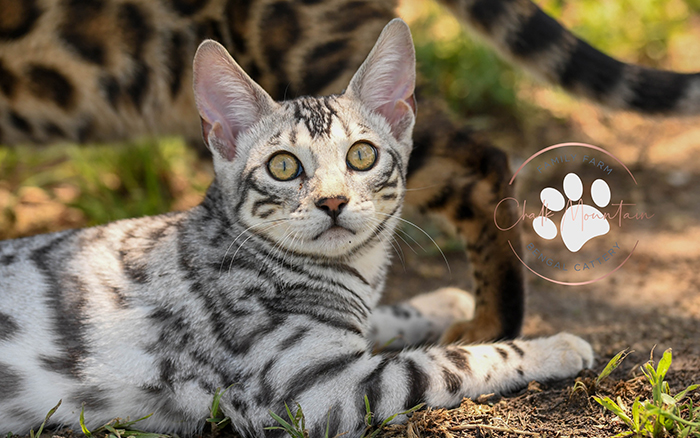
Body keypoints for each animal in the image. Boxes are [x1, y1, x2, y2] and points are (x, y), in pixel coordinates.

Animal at [0, 19, 592, 434]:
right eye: (283, 166)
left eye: (362, 155)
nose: (332, 201)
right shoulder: (316, 391)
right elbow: (453, 361)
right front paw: (554, 347)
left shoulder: (345, 337)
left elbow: (385, 317)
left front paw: (444, 301)